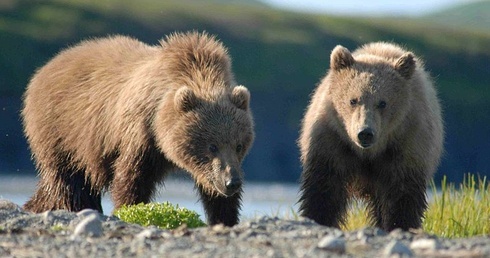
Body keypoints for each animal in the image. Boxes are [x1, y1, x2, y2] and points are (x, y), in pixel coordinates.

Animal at [21, 31, 255, 226]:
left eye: (239, 145)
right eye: (212, 146)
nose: (231, 182)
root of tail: (44, 68)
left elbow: (215, 194)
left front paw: (225, 218)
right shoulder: (140, 134)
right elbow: (132, 178)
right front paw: (129, 209)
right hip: (62, 130)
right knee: (69, 180)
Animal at [298, 41, 444, 231]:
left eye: (382, 103)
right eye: (353, 100)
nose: (365, 133)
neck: (368, 153)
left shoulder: (407, 145)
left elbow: (402, 195)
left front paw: (401, 224)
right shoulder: (331, 142)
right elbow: (324, 189)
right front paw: (319, 218)